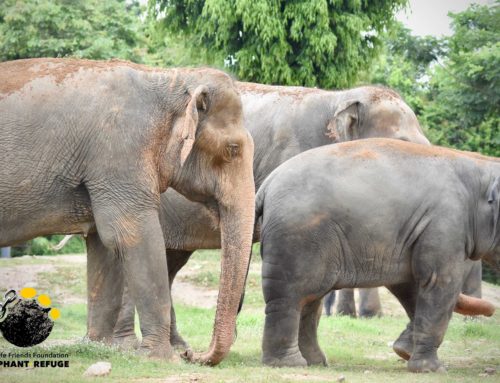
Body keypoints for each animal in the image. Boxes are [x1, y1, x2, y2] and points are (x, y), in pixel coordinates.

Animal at [0, 57, 256, 366]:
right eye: (232, 149)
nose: (191, 354)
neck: (168, 80)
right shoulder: (120, 152)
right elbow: (134, 235)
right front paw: (162, 359)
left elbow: (104, 246)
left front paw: (97, 347)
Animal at [256, 140, 498, 374]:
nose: (492, 311)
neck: (481, 167)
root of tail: (266, 187)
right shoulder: (446, 222)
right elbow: (439, 282)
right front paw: (432, 369)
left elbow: (409, 284)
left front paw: (404, 351)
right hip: (296, 237)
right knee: (291, 296)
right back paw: (288, 364)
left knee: (311, 298)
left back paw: (315, 362)